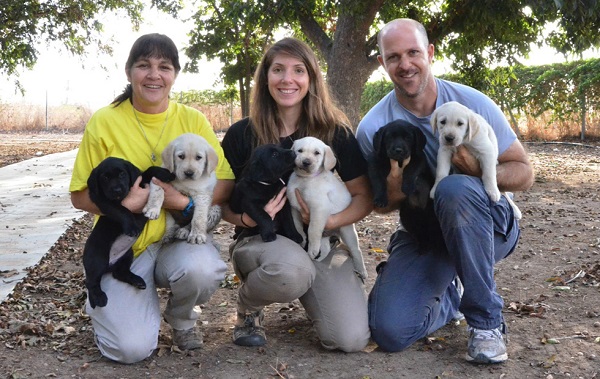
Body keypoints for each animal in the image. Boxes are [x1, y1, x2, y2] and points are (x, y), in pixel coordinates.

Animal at [83, 157, 175, 308]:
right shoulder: (103, 201)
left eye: (122, 174)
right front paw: (132, 227)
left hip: (127, 255)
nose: (117, 190)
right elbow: (122, 210)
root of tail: (109, 265)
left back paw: (137, 280)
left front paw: (165, 173)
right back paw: (99, 297)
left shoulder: (141, 182)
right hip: (98, 258)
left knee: (119, 273)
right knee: (90, 281)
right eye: (105, 178)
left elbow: (148, 171)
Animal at [288, 137, 368, 280]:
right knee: (325, 249)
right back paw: (316, 259)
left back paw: (362, 271)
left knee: (356, 250)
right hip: (325, 237)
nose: (306, 162)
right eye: (300, 151)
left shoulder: (319, 209)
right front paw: (302, 239)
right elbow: (297, 226)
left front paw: (311, 248)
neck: (304, 180)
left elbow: (312, 230)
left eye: (317, 153)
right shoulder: (295, 208)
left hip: (347, 232)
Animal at [366, 120, 446, 251]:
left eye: (408, 138)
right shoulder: (375, 161)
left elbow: (411, 170)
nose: (398, 150)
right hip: (407, 216)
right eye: (389, 137)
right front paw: (380, 199)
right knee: (420, 234)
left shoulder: (417, 158)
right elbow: (378, 181)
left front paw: (407, 187)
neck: (398, 161)